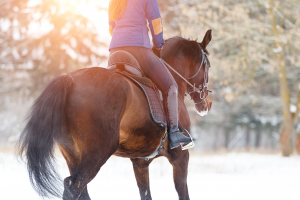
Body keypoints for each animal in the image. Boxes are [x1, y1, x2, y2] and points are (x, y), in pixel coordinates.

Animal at [17, 29, 212, 200]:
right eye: (208, 66)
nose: (207, 104)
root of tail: (70, 79)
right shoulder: (180, 157)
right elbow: (183, 193)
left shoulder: (140, 162)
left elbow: (146, 194)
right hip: (98, 152)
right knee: (74, 185)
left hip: (73, 154)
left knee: (81, 189)